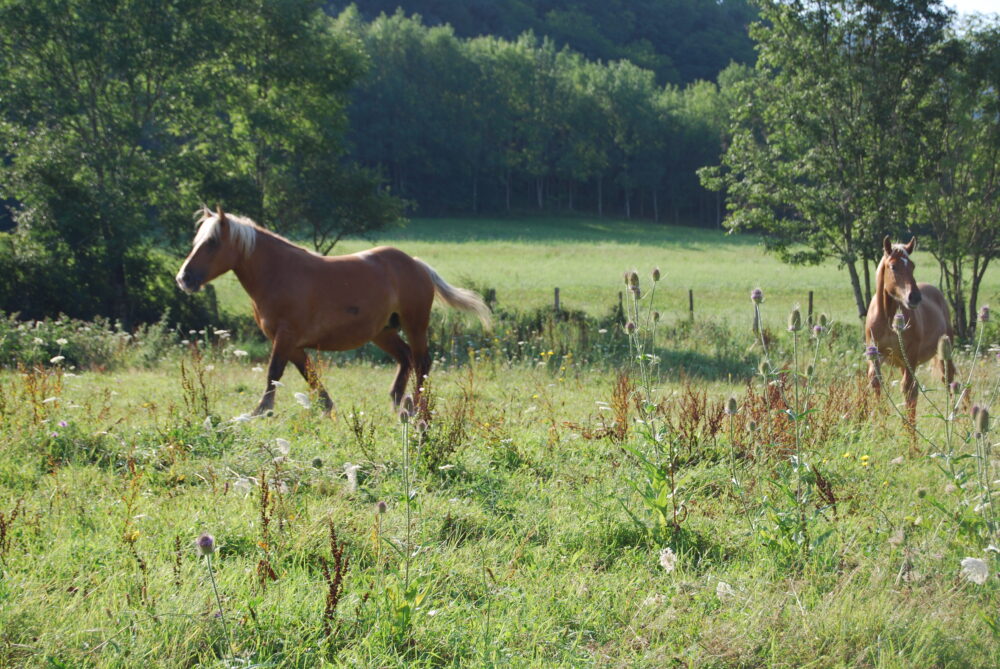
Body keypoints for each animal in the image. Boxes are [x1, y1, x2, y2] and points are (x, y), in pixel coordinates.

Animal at [182, 206, 494, 414]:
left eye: (212, 243)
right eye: (197, 241)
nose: (183, 278)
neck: (279, 273)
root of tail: (418, 265)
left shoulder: (285, 337)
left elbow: (274, 372)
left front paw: (261, 411)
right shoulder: (292, 343)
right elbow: (308, 374)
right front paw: (326, 408)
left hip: (415, 324)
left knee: (422, 362)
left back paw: (416, 406)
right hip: (383, 332)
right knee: (406, 358)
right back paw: (397, 401)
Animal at [868, 236, 952, 422]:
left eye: (912, 265)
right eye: (893, 266)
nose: (914, 297)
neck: (887, 318)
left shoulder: (911, 356)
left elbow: (908, 390)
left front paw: (908, 428)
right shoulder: (876, 354)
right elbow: (876, 383)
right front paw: (880, 422)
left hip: (943, 355)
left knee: (948, 381)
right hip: (902, 362)